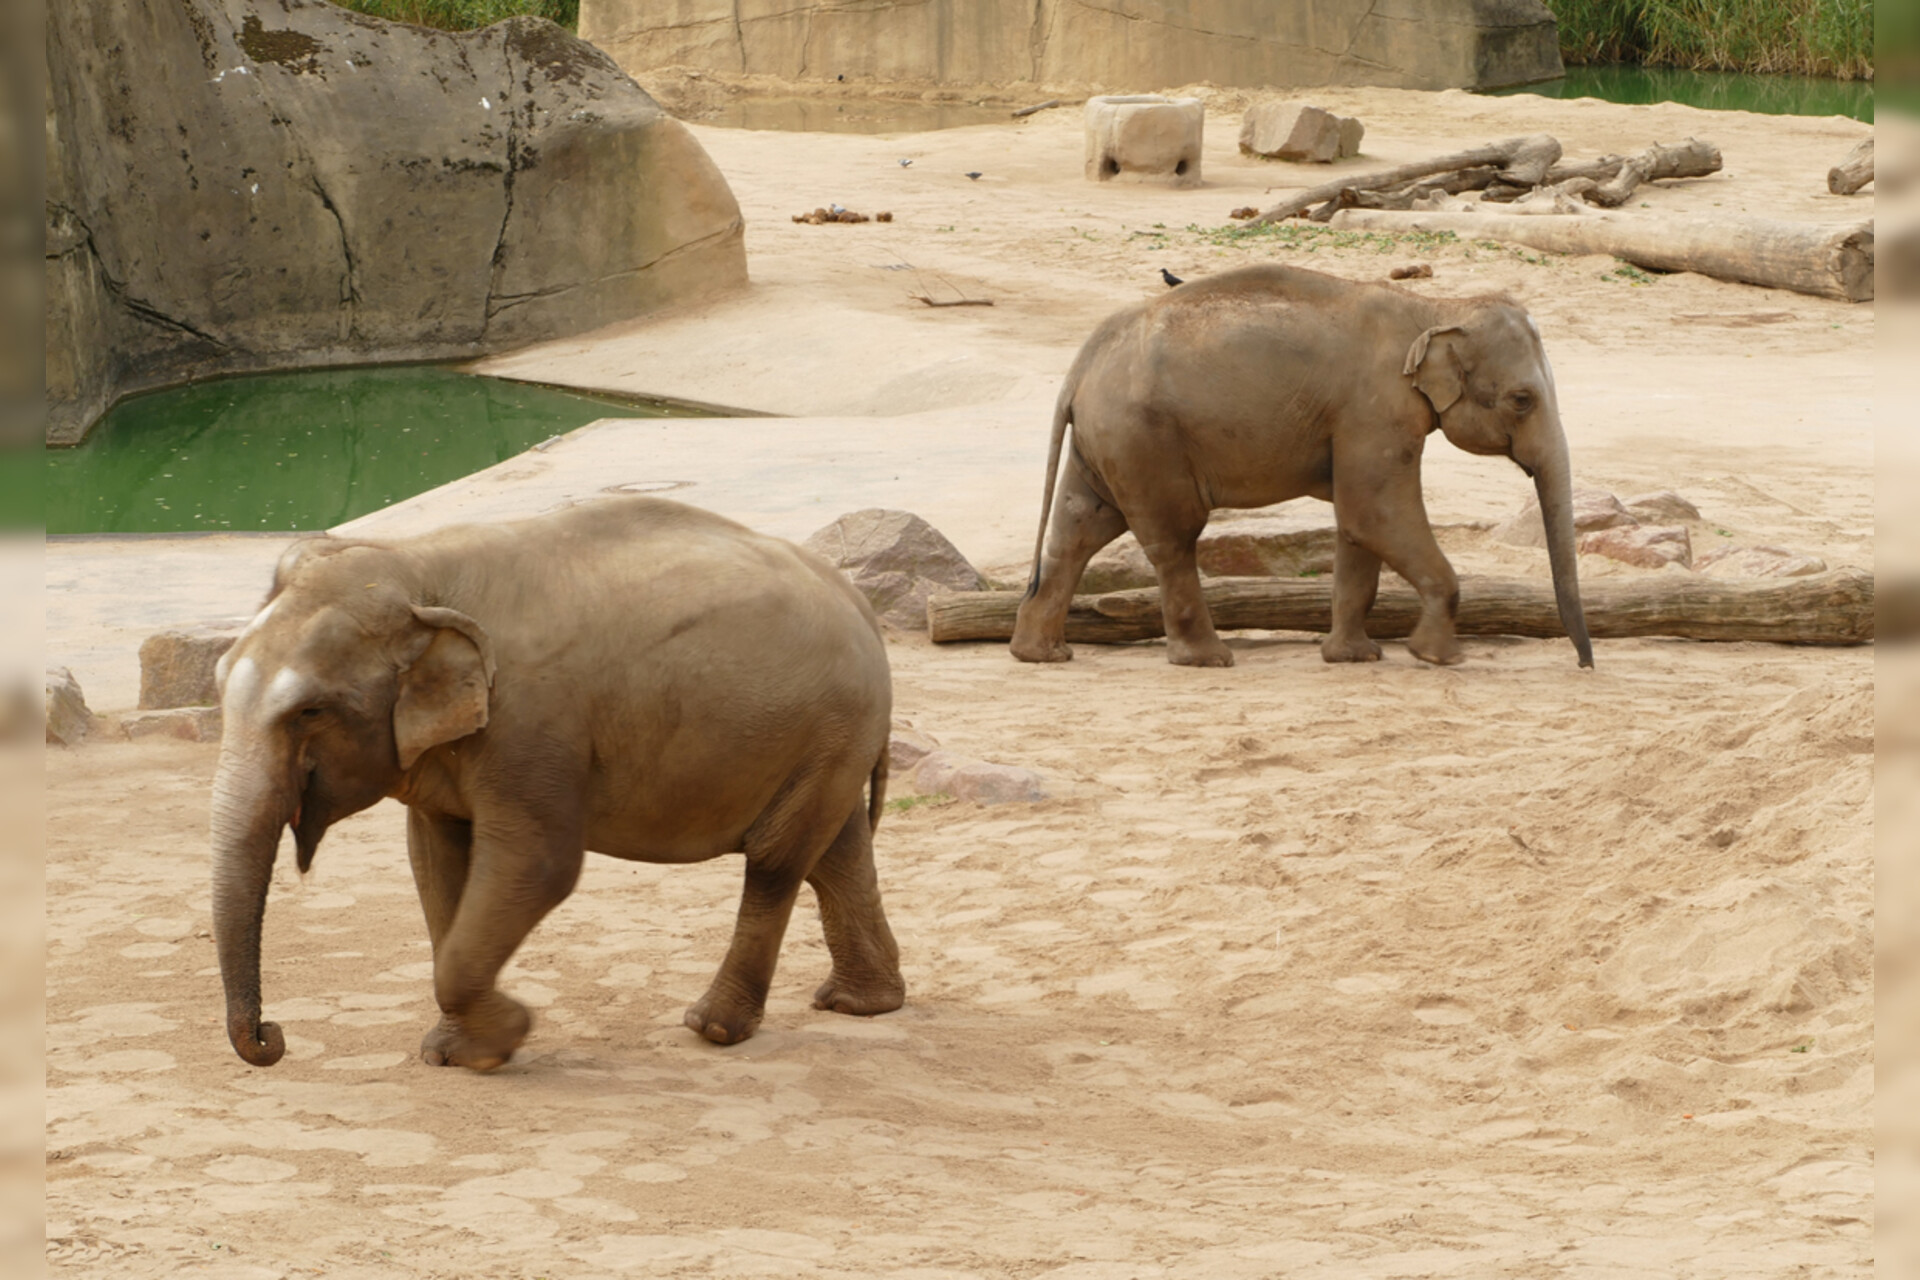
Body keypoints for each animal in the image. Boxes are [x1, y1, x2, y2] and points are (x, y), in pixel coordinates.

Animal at [214, 495, 902, 1074]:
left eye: (309, 711)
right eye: (219, 680)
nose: (273, 1037)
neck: (416, 568)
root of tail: (858, 602)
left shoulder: (533, 723)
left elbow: (539, 864)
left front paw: (505, 1038)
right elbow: (434, 860)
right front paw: (451, 1053)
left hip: (832, 723)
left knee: (776, 860)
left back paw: (713, 1028)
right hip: (830, 739)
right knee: (835, 852)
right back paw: (860, 1005)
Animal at [1006, 266, 1589, 675]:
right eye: (1522, 400)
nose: (1585, 664)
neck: (1433, 307)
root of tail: (1081, 365)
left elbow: (1358, 527)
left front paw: (1354, 657)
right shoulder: (1375, 409)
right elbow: (1375, 513)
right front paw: (1437, 657)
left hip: (1108, 444)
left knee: (1078, 529)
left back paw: (1040, 654)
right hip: (1144, 440)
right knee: (1173, 537)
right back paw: (1208, 660)